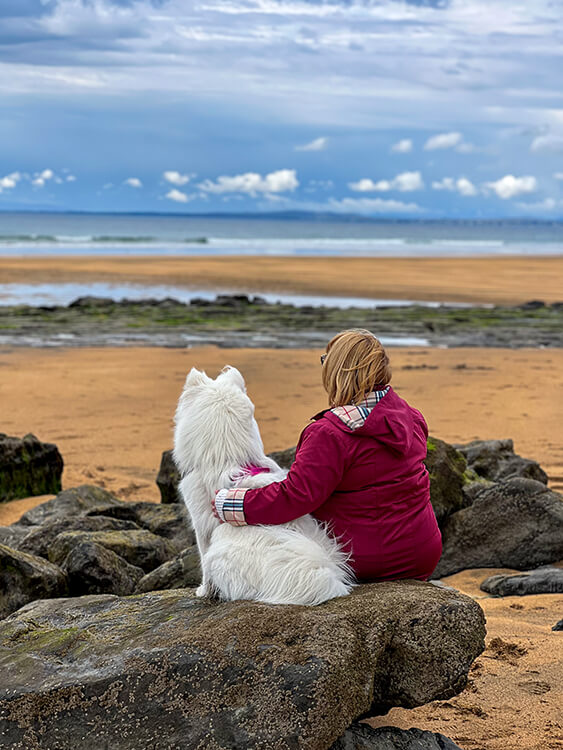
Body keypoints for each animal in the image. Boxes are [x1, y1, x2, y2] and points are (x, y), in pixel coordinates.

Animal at [174, 368, 354, 608]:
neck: (229, 459)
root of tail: (326, 570)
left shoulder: (202, 529)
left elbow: (203, 563)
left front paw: (205, 591)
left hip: (220, 551)